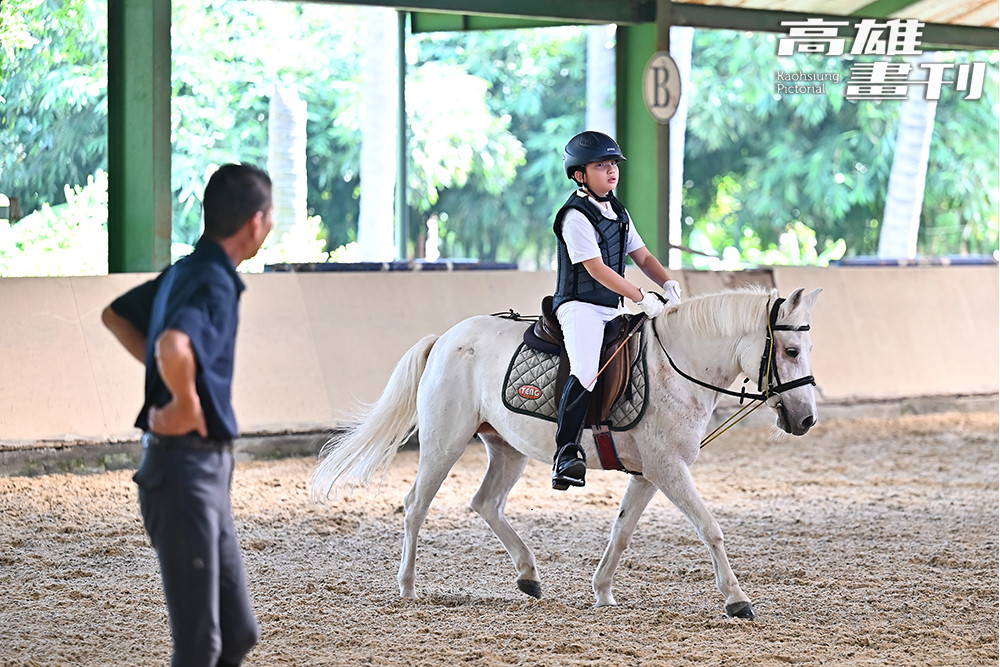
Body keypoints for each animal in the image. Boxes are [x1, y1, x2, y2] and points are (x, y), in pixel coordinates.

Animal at [311, 286, 821, 618]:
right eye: (791, 350)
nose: (806, 420)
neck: (679, 365)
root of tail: (445, 339)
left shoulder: (648, 473)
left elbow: (622, 532)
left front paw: (603, 592)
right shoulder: (668, 468)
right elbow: (710, 528)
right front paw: (737, 600)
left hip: (506, 447)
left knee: (485, 502)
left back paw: (528, 574)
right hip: (444, 441)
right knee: (416, 504)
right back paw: (407, 586)